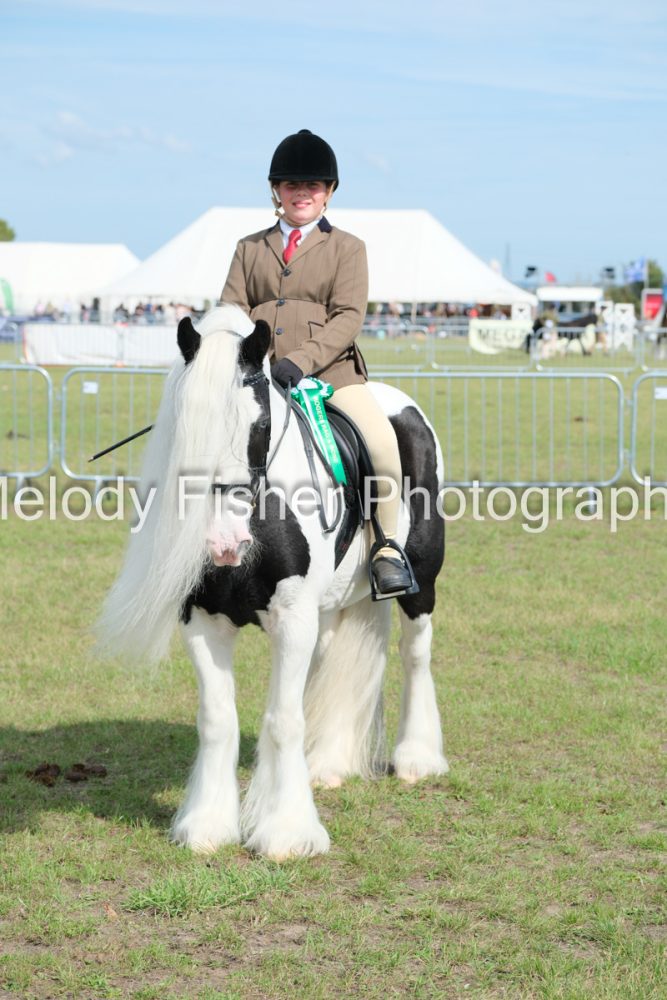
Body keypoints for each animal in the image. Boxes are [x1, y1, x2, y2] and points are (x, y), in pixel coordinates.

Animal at [96, 304, 448, 860]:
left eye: (259, 424)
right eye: (184, 426)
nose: (224, 542)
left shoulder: (292, 616)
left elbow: (283, 720)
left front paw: (287, 832)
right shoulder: (203, 621)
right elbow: (218, 720)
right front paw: (206, 826)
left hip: (421, 579)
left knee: (416, 654)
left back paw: (418, 759)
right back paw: (326, 765)